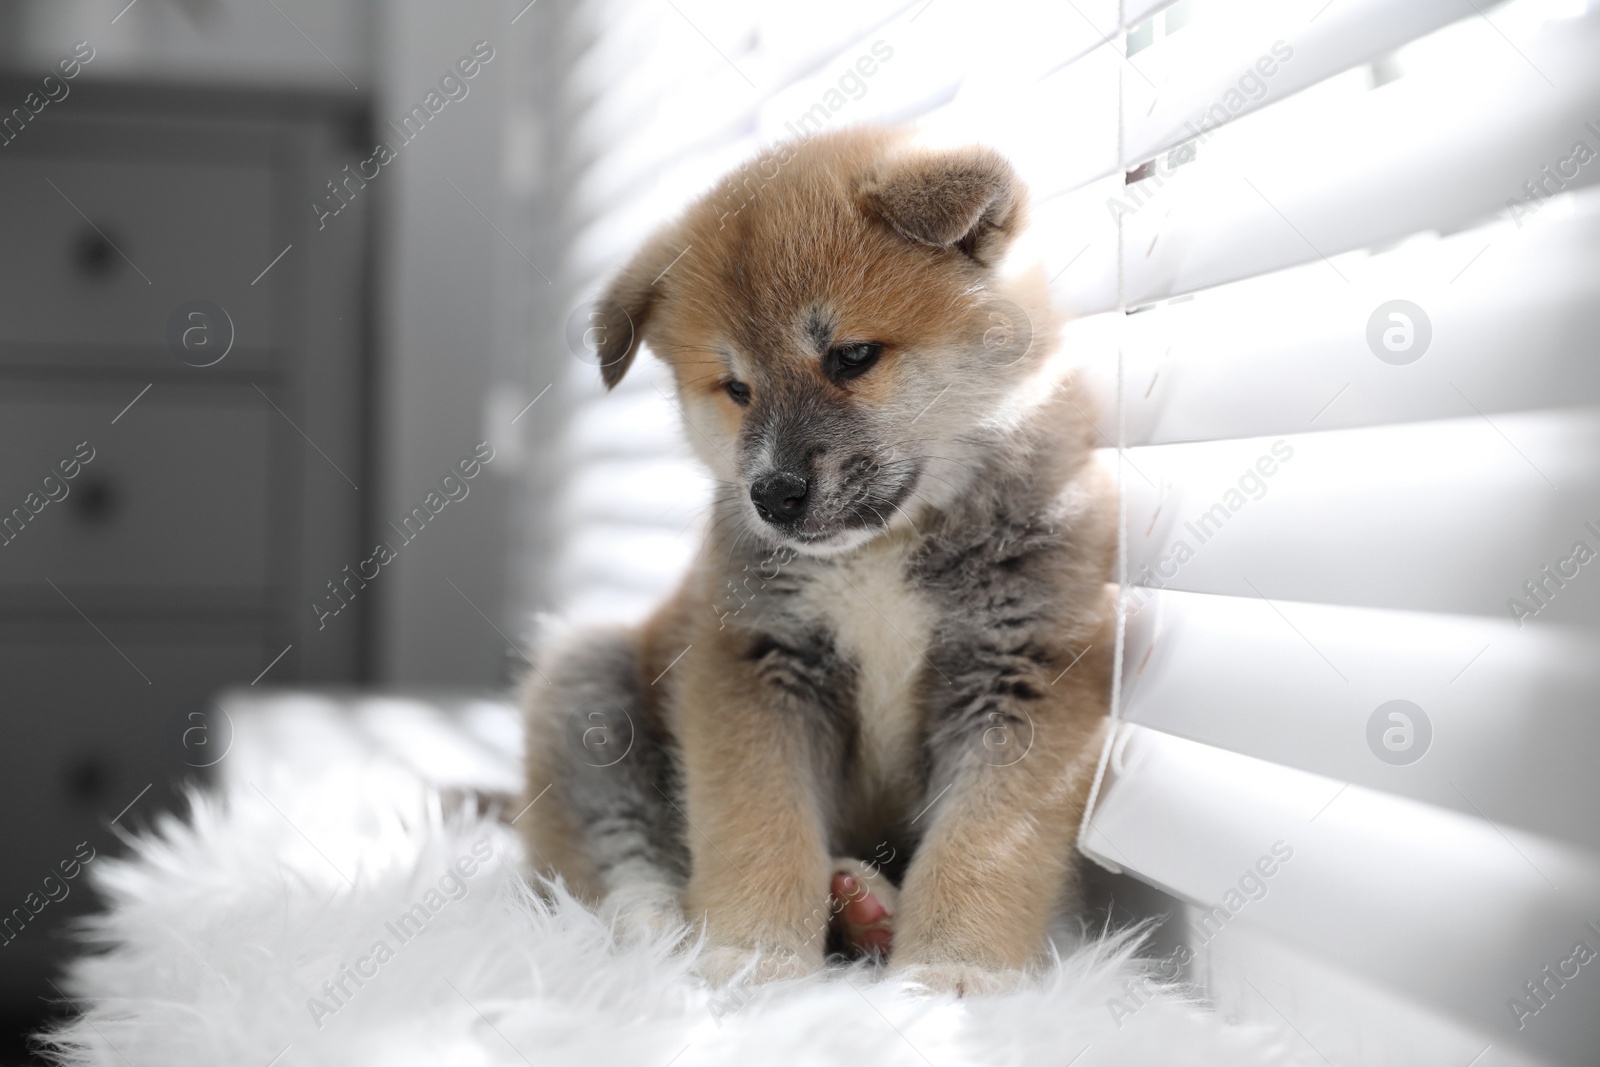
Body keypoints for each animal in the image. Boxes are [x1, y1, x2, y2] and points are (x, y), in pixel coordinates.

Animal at [521, 127, 1113, 1004]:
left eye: (852, 356)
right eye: (736, 388)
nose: (772, 493)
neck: (882, 553)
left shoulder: (1021, 675)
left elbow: (981, 846)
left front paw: (954, 965)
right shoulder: (757, 666)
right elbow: (761, 828)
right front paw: (756, 954)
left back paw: (866, 909)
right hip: (589, 682)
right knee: (613, 857)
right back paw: (671, 925)